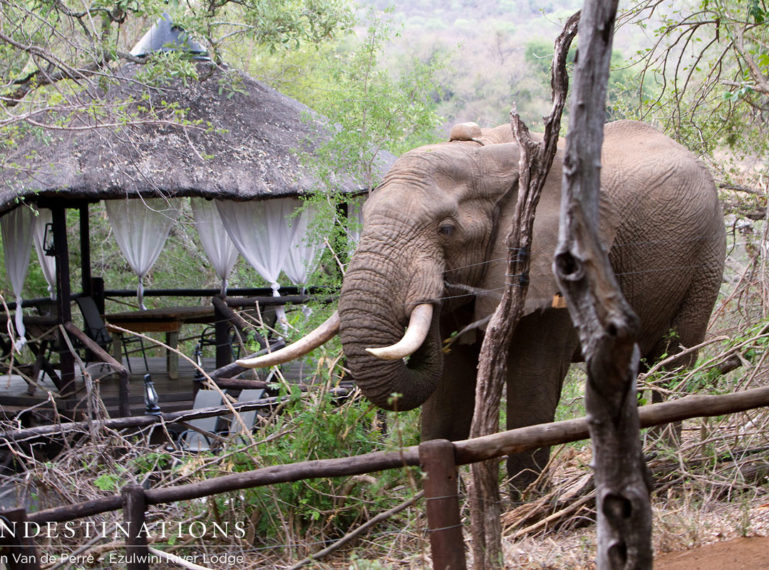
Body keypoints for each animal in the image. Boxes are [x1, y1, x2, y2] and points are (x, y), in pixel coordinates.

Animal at [238, 120, 728, 496]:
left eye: (447, 229)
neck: (488, 158)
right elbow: (446, 395)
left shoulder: (554, 266)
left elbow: (531, 387)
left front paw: (525, 510)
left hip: (707, 254)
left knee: (675, 360)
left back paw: (666, 470)